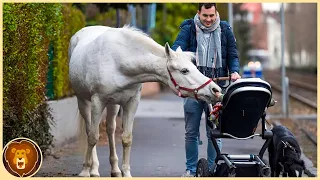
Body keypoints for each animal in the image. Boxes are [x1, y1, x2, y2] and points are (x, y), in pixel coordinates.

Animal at [68, 24, 222, 177]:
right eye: (184, 70)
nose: (215, 90)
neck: (118, 61)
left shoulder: (131, 102)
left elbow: (126, 138)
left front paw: (126, 173)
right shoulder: (98, 102)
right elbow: (93, 137)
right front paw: (85, 171)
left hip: (113, 105)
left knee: (110, 129)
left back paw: (115, 169)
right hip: (83, 101)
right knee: (89, 130)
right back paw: (93, 169)